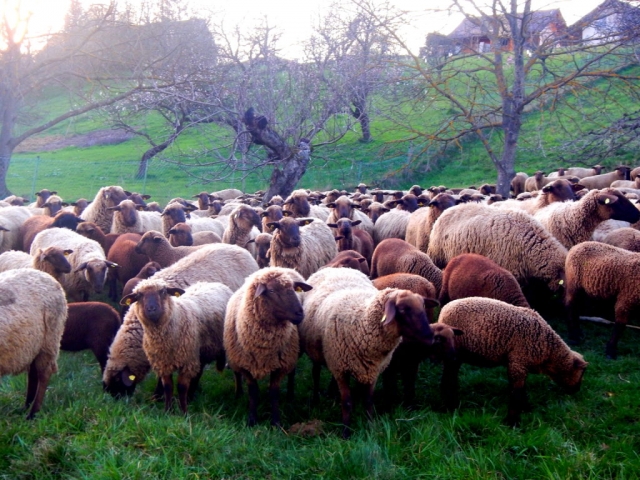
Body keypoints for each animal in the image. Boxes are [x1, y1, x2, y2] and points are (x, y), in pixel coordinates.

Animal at [224, 266, 312, 428]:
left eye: (294, 289)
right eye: (271, 291)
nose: (300, 313)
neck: (263, 346)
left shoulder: (280, 366)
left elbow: (274, 393)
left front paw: (276, 422)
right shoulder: (246, 366)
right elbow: (253, 392)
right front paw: (252, 420)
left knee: (292, 373)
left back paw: (290, 395)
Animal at [300, 268, 436, 436]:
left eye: (423, 307)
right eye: (403, 309)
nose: (430, 337)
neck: (362, 322)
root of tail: (336, 268)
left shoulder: (372, 370)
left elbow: (369, 401)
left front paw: (371, 428)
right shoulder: (341, 369)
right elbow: (347, 402)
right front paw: (345, 432)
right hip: (317, 351)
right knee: (316, 373)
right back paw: (315, 398)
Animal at [438, 298, 588, 426]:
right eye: (581, 373)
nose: (577, 390)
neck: (549, 351)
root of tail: (444, 311)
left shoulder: (520, 364)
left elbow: (521, 389)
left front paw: (525, 408)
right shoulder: (518, 362)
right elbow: (516, 393)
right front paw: (513, 422)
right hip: (453, 355)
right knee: (448, 379)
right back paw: (450, 407)